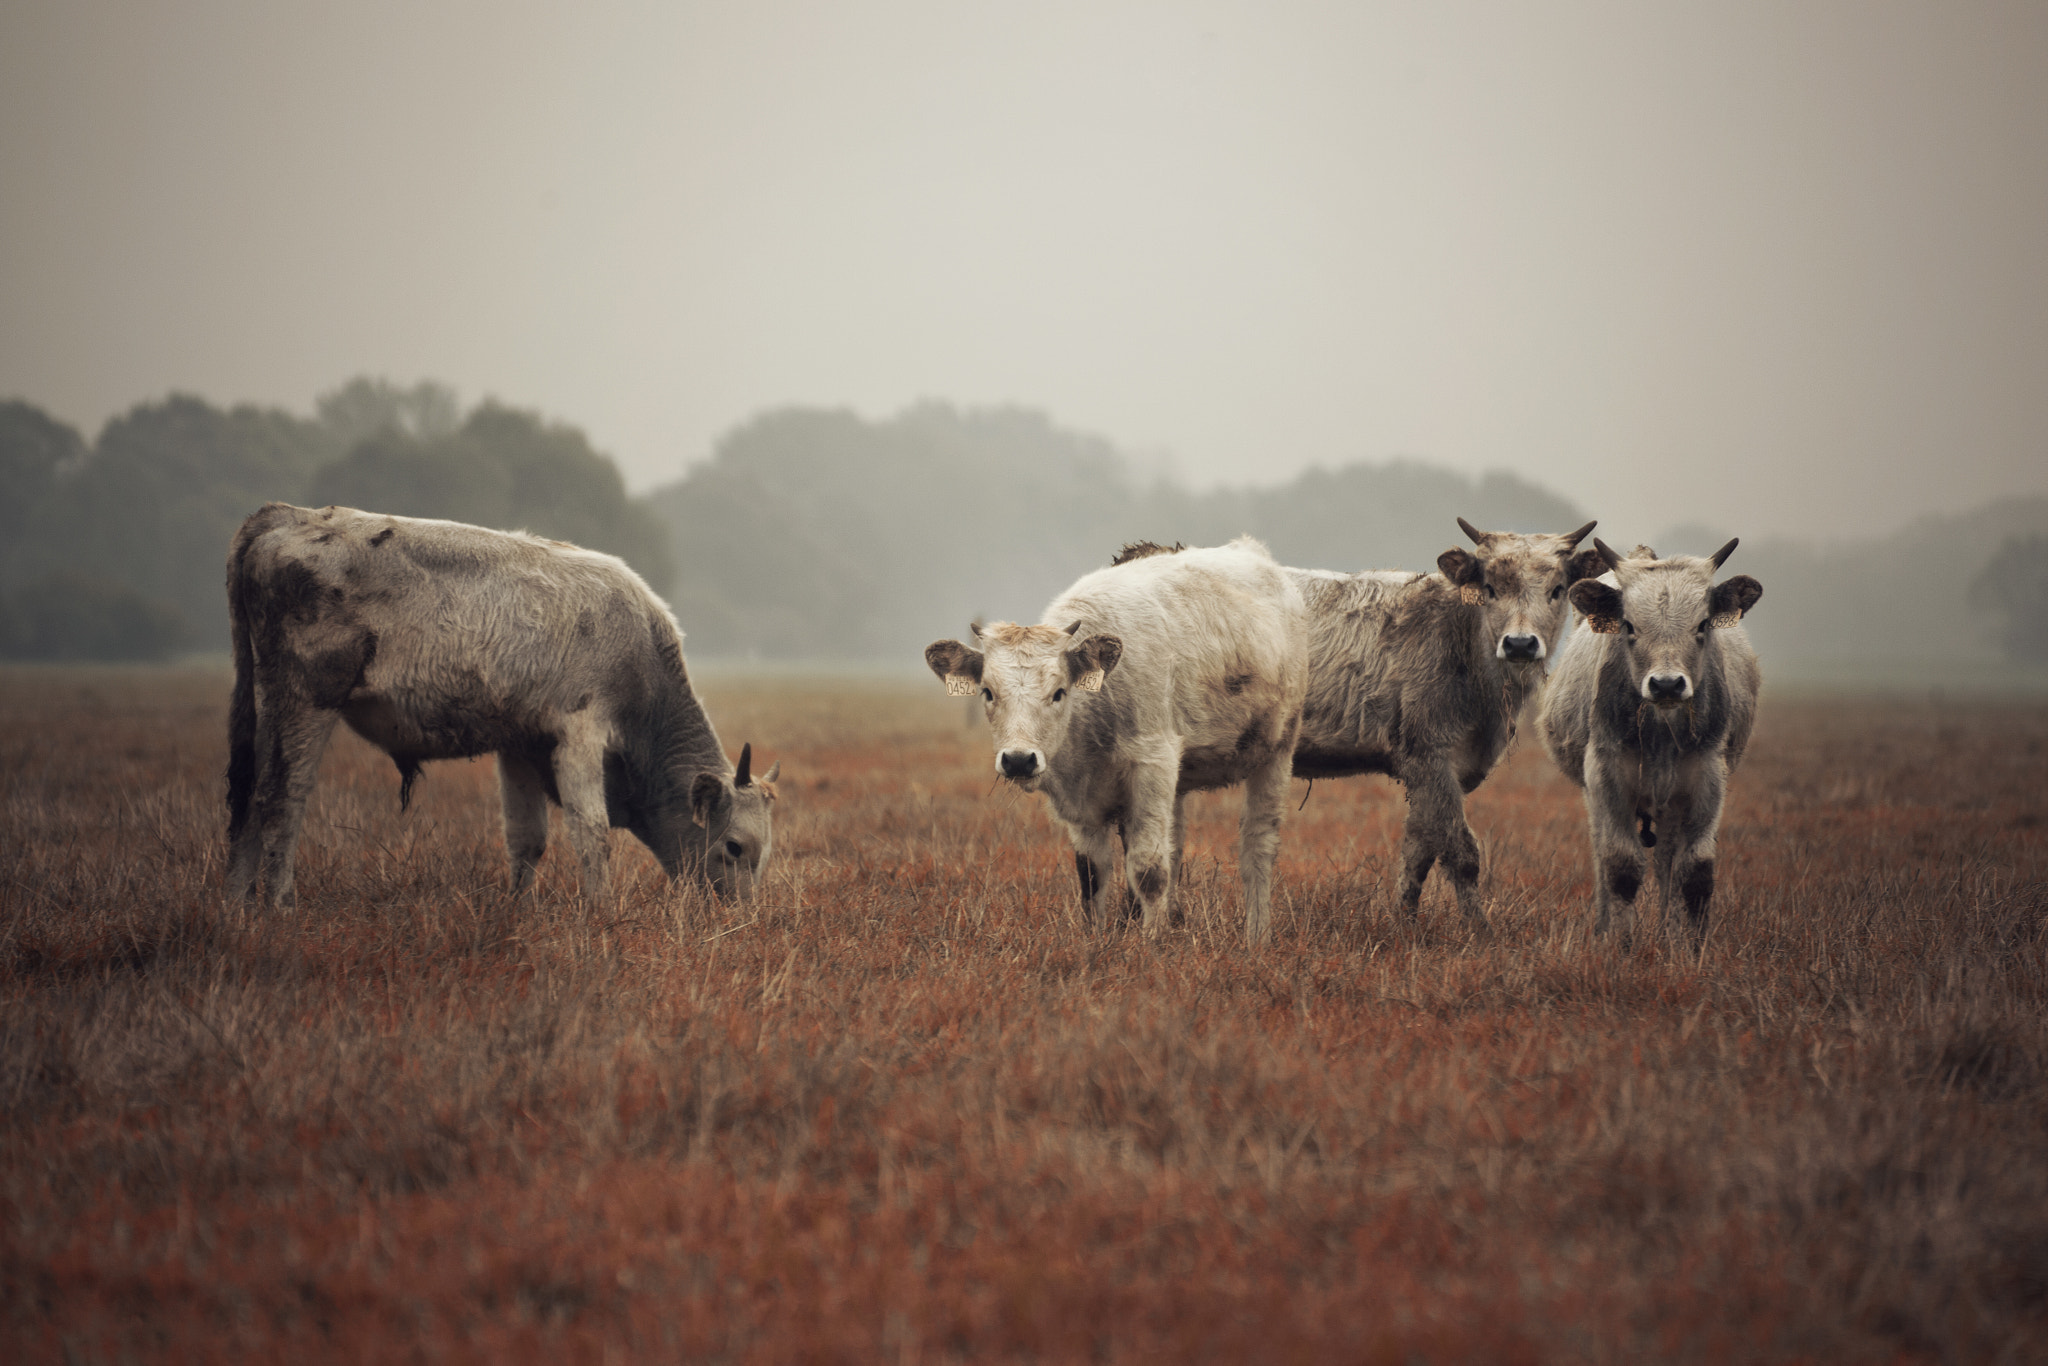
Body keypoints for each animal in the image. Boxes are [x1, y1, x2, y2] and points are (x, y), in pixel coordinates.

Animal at [224, 503, 777, 909]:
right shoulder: (579, 735)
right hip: (306, 701)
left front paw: (517, 910)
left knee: (251, 795)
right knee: (283, 797)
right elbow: (592, 832)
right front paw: (602, 912)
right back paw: (278, 904)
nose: (740, 918)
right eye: (734, 846)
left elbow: (527, 837)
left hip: (268, 707)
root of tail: (290, 514)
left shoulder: (522, 743)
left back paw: (238, 908)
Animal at [924, 537, 1309, 946]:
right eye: (987, 692)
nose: (1018, 760)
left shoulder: (1153, 766)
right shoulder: (1080, 804)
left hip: (1276, 753)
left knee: (1257, 847)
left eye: (1059, 692)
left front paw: (1152, 941)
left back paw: (1258, 936)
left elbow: (1149, 869)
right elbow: (1092, 875)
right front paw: (1094, 940)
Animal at [1286, 517, 1602, 932]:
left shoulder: (1442, 769)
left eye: (1557, 590)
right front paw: (1480, 930)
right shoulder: (1429, 755)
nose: (1519, 644)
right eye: (1490, 589)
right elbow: (1460, 850)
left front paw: (1405, 922)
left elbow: (1419, 849)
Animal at [1537, 538, 1763, 945]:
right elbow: (1620, 866)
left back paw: (1667, 929)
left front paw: (1690, 947)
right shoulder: (1607, 777)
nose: (1667, 684)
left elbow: (1695, 872)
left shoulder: (1707, 779)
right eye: (1629, 624)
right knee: (1602, 853)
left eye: (1702, 624)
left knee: (1666, 861)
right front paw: (1620, 944)